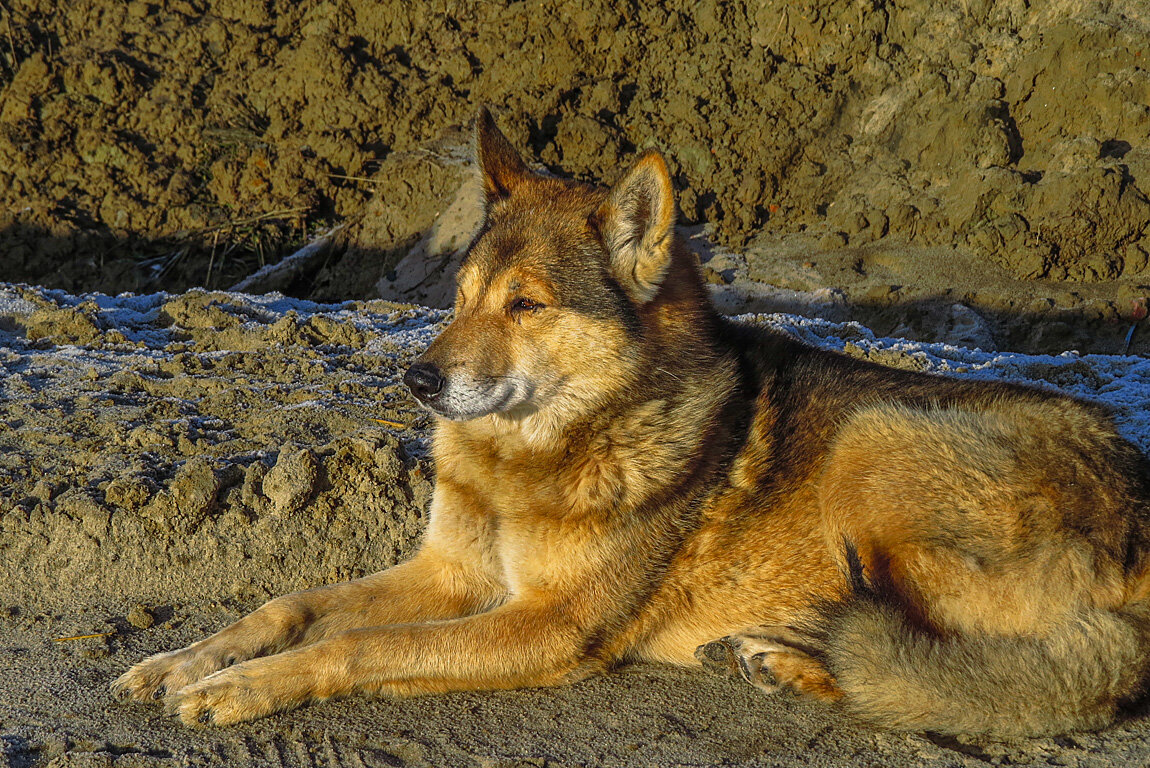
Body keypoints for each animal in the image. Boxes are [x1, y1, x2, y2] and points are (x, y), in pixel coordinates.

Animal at [114, 109, 1150, 735]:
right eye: (461, 295)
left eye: (527, 306)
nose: (416, 379)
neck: (536, 455)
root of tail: (1136, 505)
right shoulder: (449, 574)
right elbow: (289, 607)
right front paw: (186, 662)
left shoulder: (549, 625)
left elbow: (356, 647)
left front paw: (236, 689)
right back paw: (776, 658)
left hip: (879, 433)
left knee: (939, 679)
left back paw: (793, 659)